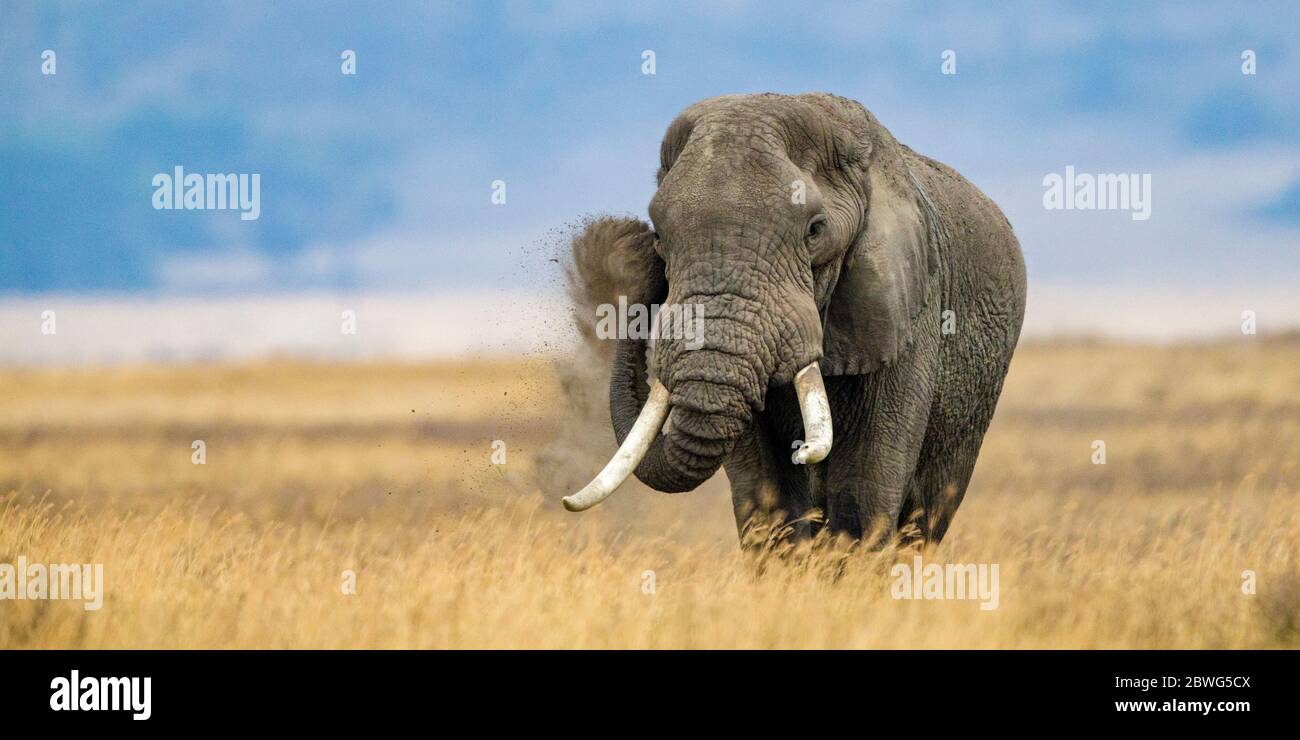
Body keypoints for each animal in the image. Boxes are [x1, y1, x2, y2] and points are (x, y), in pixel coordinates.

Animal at [559, 92, 1024, 546]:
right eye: (658, 237)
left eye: (814, 231)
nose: (631, 244)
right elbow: (766, 495)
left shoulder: (910, 308)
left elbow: (864, 491)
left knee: (928, 513)